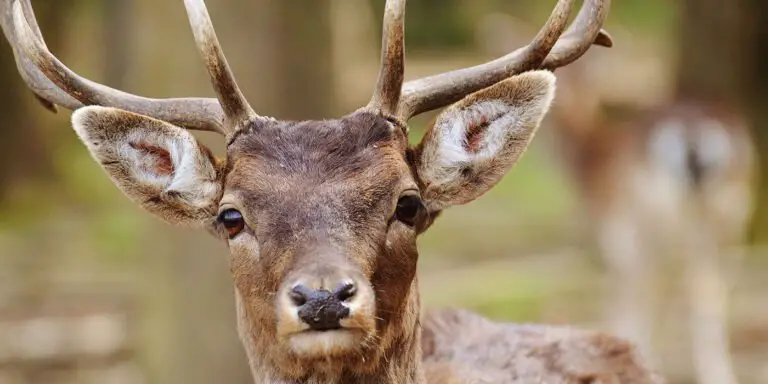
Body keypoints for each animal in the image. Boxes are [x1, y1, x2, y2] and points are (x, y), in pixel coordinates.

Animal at [544, 61, 756, 384]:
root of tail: (694, 134)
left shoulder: (621, 232)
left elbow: (631, 298)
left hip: (669, 213)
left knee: (688, 286)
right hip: (731, 212)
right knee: (713, 286)